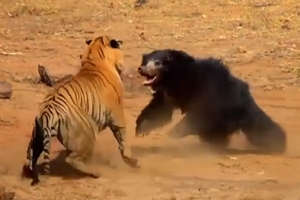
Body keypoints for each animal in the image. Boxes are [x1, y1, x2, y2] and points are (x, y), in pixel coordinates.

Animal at [21, 34, 140, 186]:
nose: (123, 66)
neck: (94, 57)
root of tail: (48, 110)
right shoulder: (117, 114)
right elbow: (123, 137)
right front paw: (132, 161)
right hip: (88, 132)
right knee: (72, 158)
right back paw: (94, 173)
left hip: (37, 136)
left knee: (30, 158)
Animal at [135, 49, 288, 154]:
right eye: (146, 62)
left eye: (157, 63)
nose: (141, 69)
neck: (176, 79)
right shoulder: (167, 94)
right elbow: (159, 109)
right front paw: (141, 128)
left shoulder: (205, 90)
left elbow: (199, 112)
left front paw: (173, 132)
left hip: (231, 110)